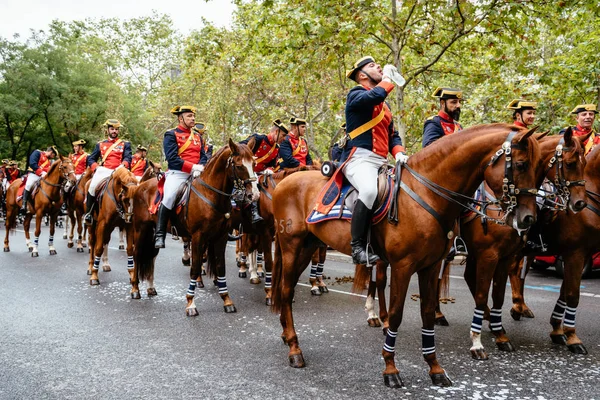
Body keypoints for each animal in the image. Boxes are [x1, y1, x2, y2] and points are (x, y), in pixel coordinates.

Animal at [132, 139, 258, 310]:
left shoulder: (221, 237)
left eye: (254, 163)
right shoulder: (198, 237)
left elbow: (220, 266)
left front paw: (226, 299)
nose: (254, 195)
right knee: (136, 255)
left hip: (151, 232)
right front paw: (191, 303)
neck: (210, 195)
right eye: (239, 166)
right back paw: (134, 289)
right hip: (140, 230)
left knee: (150, 256)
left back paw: (151, 288)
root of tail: (141, 187)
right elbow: (195, 266)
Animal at [272, 124, 544, 388]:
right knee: (285, 291)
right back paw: (295, 349)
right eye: (521, 164)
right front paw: (390, 368)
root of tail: (284, 182)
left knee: (288, 288)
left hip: (308, 247)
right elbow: (396, 314)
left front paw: (435, 368)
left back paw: (286, 335)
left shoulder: (431, 266)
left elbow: (428, 313)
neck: (425, 193)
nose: (528, 219)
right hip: (291, 246)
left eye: (538, 167)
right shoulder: (404, 266)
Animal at [504, 138, 600, 356]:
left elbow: (564, 292)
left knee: (514, 272)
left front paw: (557, 329)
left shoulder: (580, 255)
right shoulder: (575, 254)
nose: (578, 203)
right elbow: (572, 294)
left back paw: (518, 308)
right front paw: (572, 337)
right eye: (570, 163)